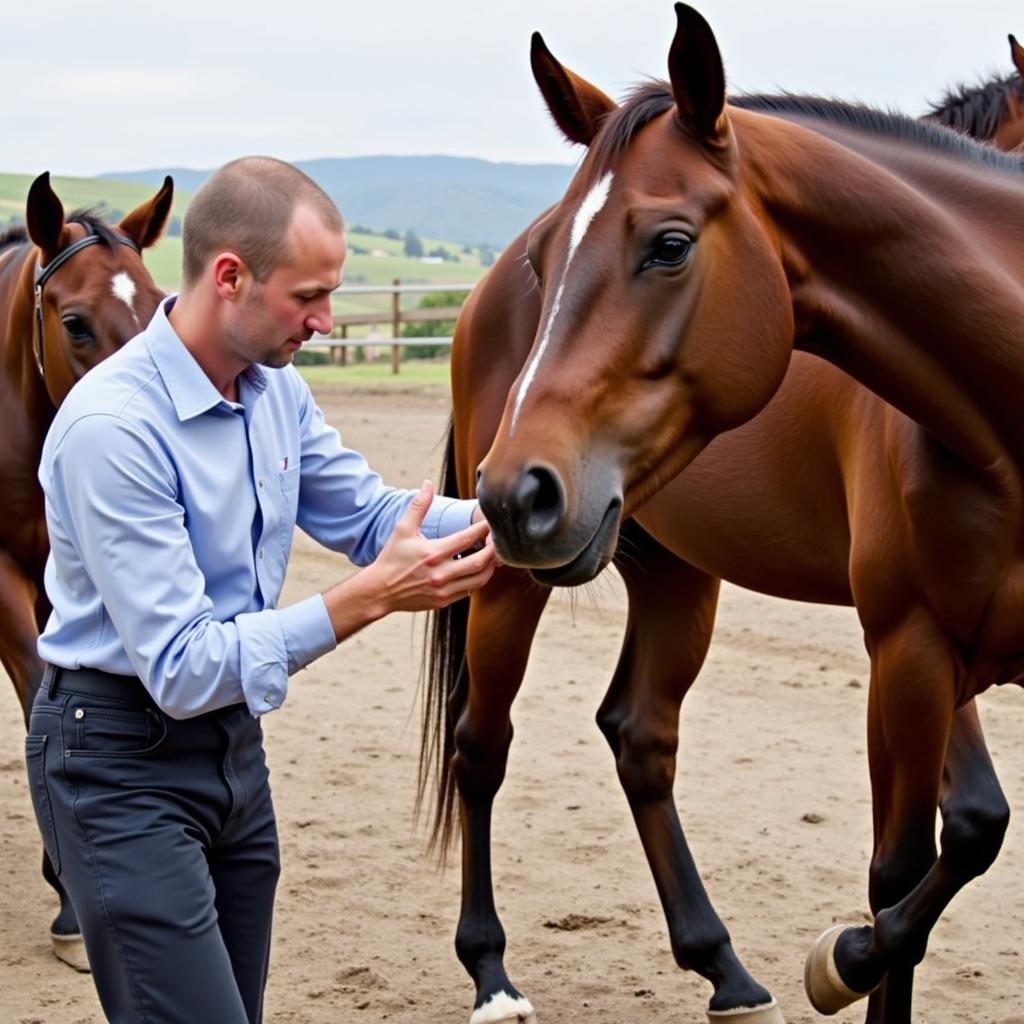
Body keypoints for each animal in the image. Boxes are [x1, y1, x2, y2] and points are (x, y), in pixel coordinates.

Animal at [423, 8, 1024, 1024]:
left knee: (641, 739)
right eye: (552, 263)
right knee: (482, 746)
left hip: (675, 575)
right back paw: (492, 971)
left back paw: (723, 967)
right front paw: (844, 959)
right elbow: (914, 868)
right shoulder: (911, 646)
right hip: (513, 581)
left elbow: (962, 837)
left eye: (669, 245)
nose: (518, 491)